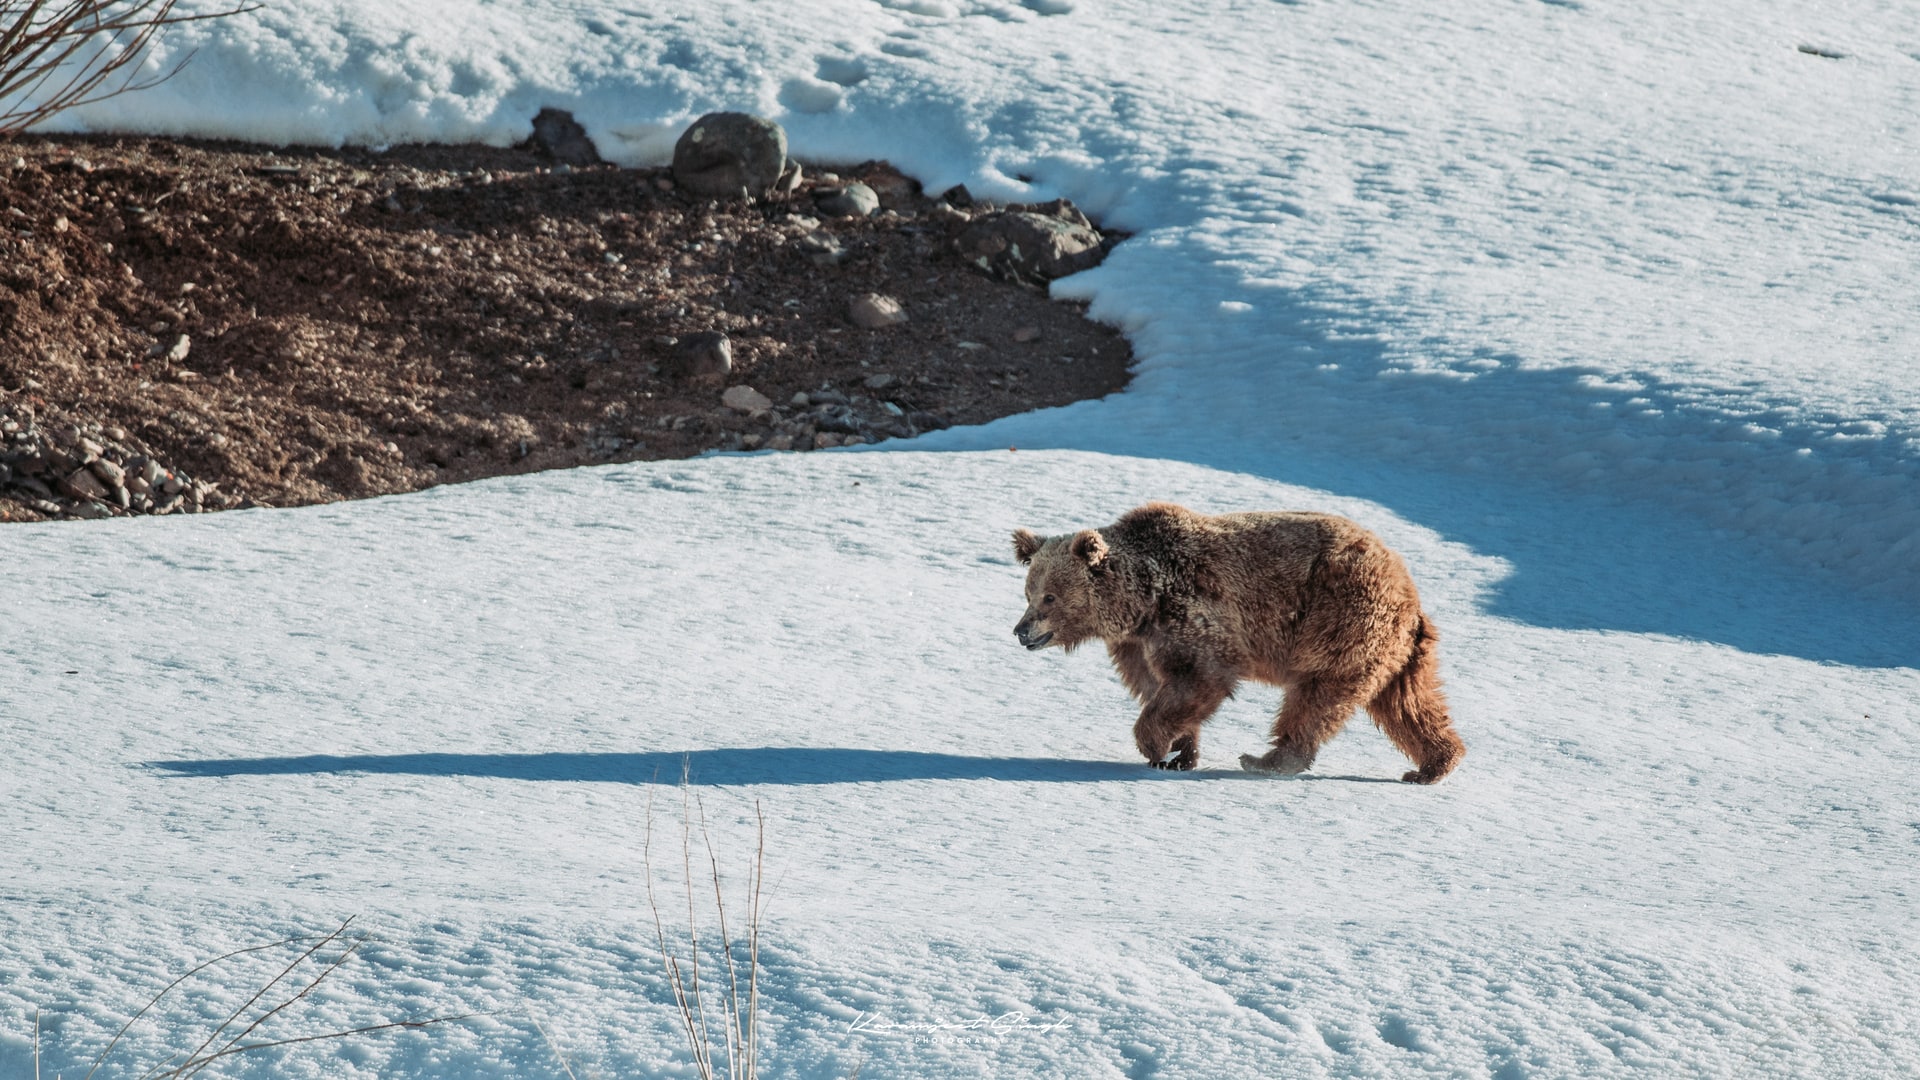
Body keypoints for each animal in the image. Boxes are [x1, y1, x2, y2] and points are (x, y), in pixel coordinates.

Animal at [1011, 502, 1464, 784]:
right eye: (1029, 592)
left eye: (1050, 597)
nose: (1021, 631)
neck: (1141, 601)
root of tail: (1405, 586)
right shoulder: (1136, 643)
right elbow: (1159, 687)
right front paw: (1180, 753)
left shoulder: (1191, 614)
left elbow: (1199, 678)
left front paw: (1155, 745)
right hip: (1396, 648)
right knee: (1409, 704)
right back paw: (1433, 764)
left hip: (1339, 617)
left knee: (1316, 696)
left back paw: (1267, 759)